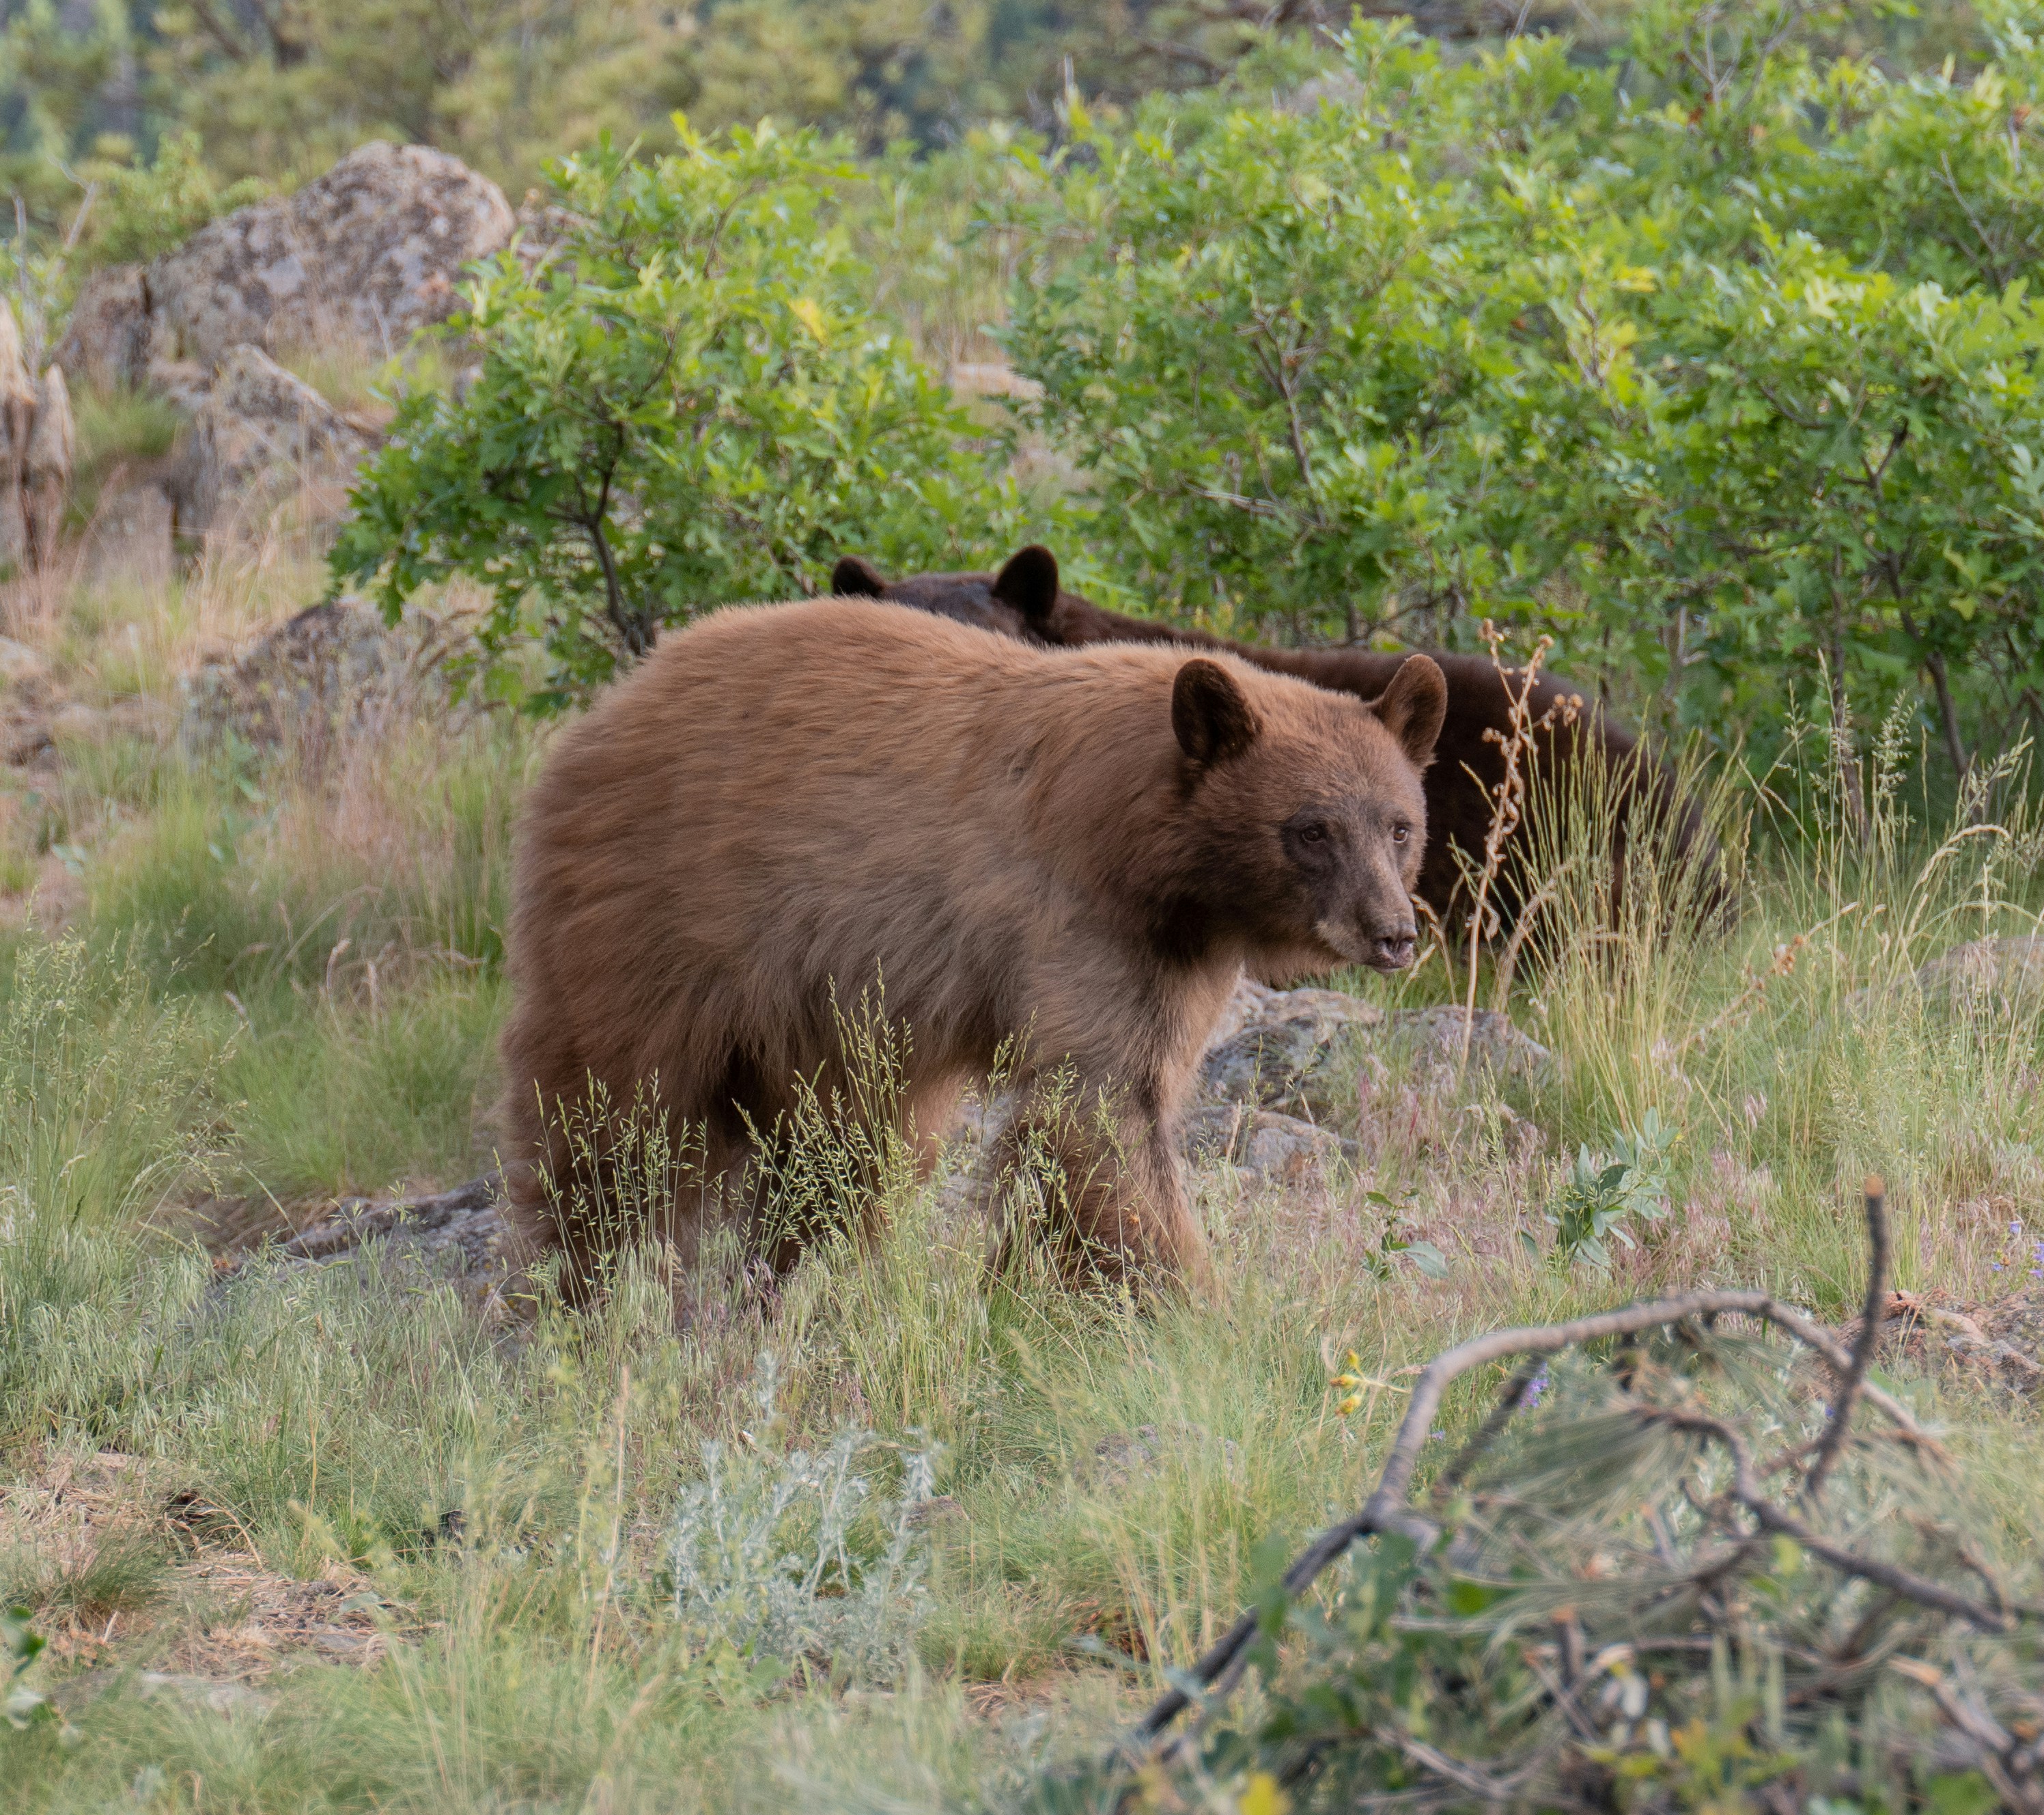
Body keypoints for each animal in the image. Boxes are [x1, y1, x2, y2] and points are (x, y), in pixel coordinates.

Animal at [500, 595, 1447, 1301]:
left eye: (1398, 825)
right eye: (1311, 830)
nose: (1392, 933)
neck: (1149, 851)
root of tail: (609, 707)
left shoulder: (1172, 956)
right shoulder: (1075, 920)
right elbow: (1100, 1107)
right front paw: (1186, 1304)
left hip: (816, 1020)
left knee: (840, 1153)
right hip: (655, 925)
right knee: (611, 1123)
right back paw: (585, 1289)